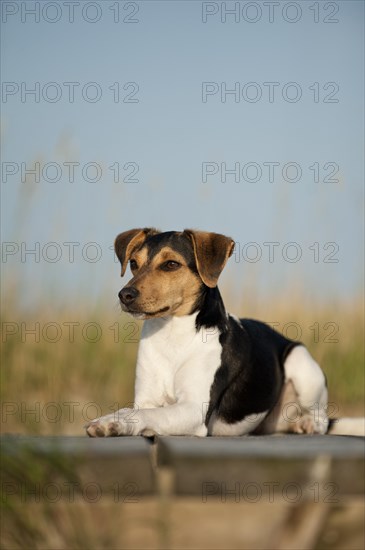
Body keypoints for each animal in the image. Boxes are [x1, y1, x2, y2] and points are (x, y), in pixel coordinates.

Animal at [86, 229, 362, 440]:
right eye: (133, 263)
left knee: (322, 419)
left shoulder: (193, 409)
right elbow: (140, 410)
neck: (172, 336)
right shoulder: (146, 399)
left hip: (301, 362)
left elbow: (145, 414)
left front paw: (112, 422)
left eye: (171, 264)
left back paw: (308, 423)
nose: (125, 295)